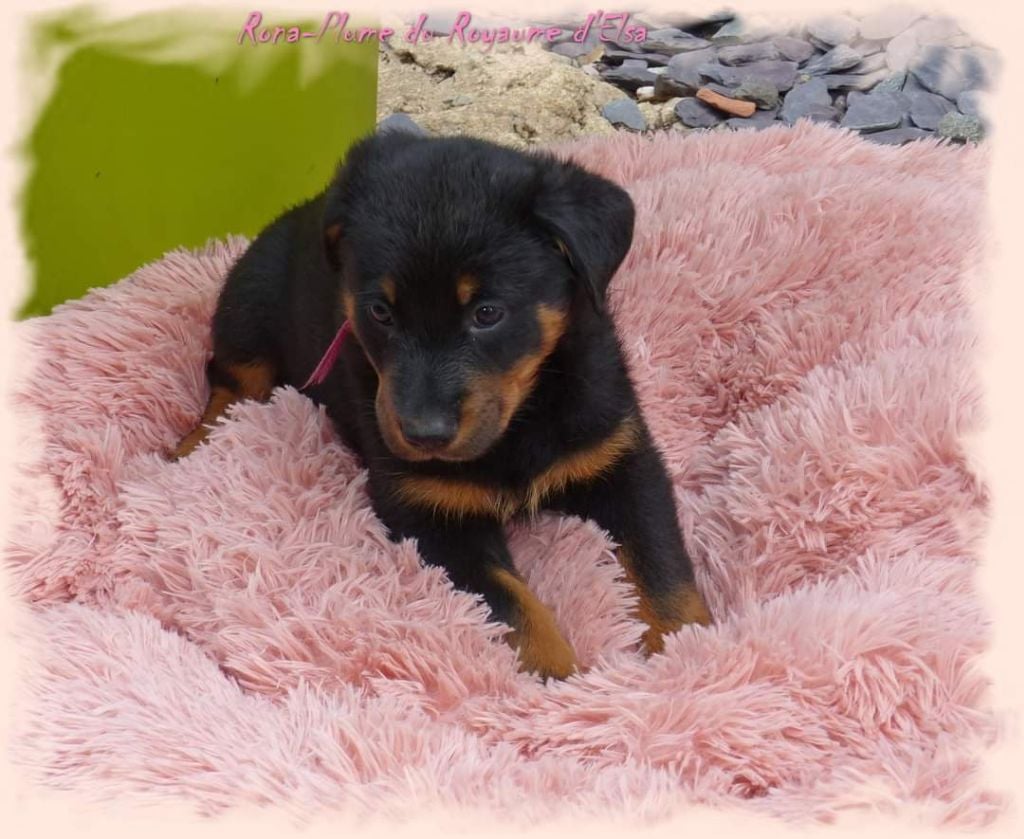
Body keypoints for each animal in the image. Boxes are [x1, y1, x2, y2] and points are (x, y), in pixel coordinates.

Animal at [173, 130, 711, 679]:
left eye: (488, 313)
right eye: (380, 312)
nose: (423, 434)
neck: (523, 418)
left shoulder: (623, 459)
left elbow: (661, 564)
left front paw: (689, 654)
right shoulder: (429, 513)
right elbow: (511, 602)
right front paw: (564, 680)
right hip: (249, 303)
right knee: (229, 379)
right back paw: (195, 446)